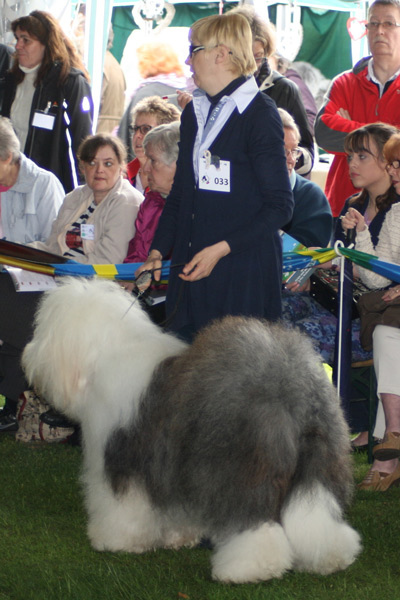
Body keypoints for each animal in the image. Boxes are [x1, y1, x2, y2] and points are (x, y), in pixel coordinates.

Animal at [22, 278, 361, 584]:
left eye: (42, 328)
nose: (28, 355)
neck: (106, 352)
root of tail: (287, 384)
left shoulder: (123, 457)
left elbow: (122, 505)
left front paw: (116, 541)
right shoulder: (172, 464)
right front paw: (178, 538)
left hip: (240, 468)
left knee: (253, 522)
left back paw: (249, 569)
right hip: (320, 456)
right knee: (317, 513)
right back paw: (331, 557)